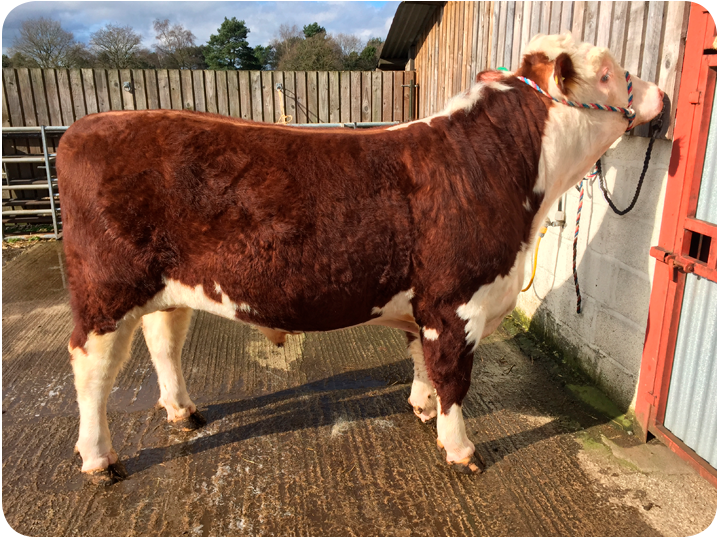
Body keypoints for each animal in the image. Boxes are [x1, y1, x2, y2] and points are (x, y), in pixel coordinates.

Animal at [56, 33, 664, 484]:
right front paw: (460, 449)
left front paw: (420, 409)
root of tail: (90, 123)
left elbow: (421, 362)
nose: (660, 93)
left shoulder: (426, 308)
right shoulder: (456, 302)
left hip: (167, 285)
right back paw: (99, 459)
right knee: (91, 369)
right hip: (106, 289)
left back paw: (183, 412)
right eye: (608, 73)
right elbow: (454, 378)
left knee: (164, 342)